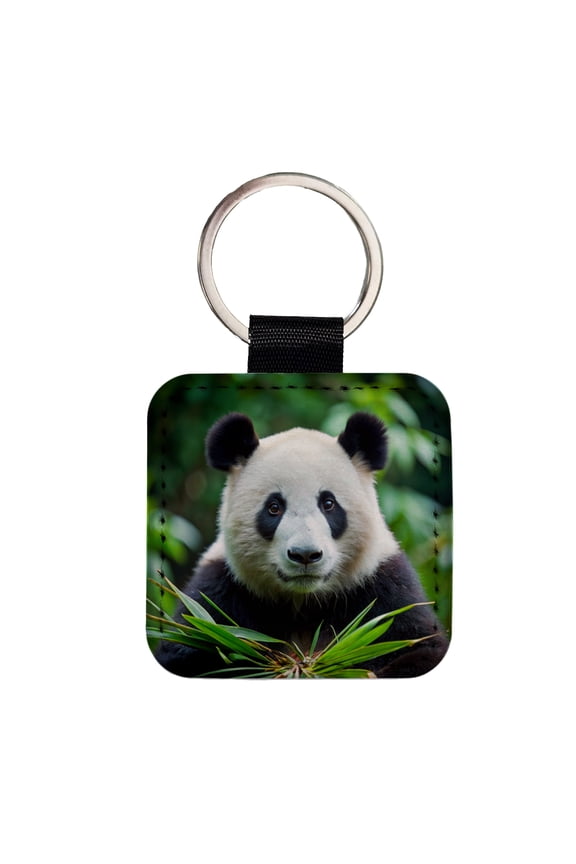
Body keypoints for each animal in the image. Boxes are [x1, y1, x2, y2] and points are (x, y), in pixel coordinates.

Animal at [156, 411, 448, 678]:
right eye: (274, 507)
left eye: (328, 504)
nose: (305, 554)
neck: (304, 603)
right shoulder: (221, 593)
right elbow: (192, 649)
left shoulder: (383, 589)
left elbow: (416, 647)